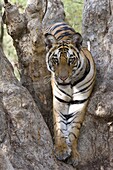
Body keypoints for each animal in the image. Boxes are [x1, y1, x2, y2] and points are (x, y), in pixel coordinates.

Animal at [43, 21, 96, 165]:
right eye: (55, 60)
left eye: (70, 60)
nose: (62, 78)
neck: (71, 85)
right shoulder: (59, 102)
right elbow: (59, 126)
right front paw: (61, 149)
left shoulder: (80, 103)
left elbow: (74, 130)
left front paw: (73, 154)